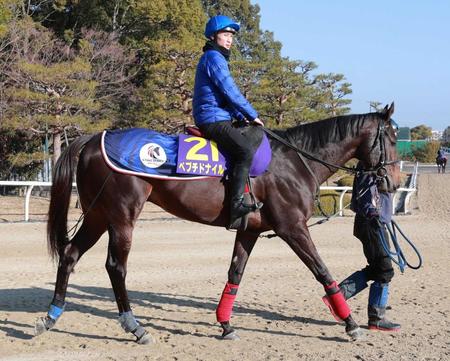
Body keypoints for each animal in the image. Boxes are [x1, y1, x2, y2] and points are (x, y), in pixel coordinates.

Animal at [36, 102, 400, 342]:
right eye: (394, 139)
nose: (394, 181)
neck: (295, 161)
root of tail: (93, 139)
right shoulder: (292, 228)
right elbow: (323, 271)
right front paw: (350, 323)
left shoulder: (250, 230)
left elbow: (234, 273)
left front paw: (225, 324)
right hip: (121, 217)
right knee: (116, 267)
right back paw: (134, 326)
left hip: (98, 216)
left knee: (69, 255)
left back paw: (51, 316)